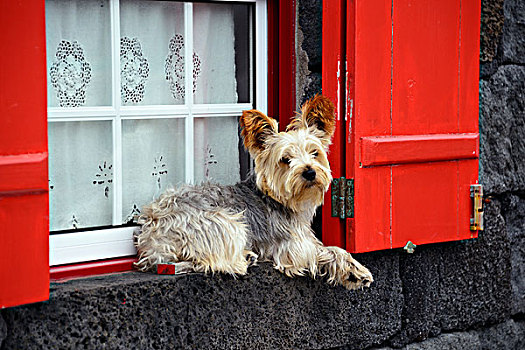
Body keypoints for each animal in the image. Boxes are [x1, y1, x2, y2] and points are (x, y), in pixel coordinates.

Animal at [135, 95, 372, 290]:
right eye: (285, 159)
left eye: (314, 153)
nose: (310, 172)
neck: (277, 198)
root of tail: (152, 236)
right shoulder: (292, 247)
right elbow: (327, 250)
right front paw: (354, 270)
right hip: (225, 222)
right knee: (217, 262)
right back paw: (243, 259)